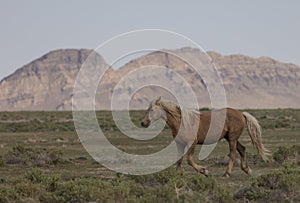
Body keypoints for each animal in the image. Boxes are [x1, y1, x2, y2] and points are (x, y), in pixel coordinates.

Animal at [141, 97, 270, 178]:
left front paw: (204, 171)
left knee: (233, 154)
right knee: (242, 149)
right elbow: (179, 160)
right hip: (230, 138)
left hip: (232, 139)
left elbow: (189, 160)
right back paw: (247, 170)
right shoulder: (180, 144)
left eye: (152, 110)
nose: (143, 123)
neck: (182, 122)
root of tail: (241, 114)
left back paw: (227, 174)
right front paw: (177, 174)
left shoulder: (191, 143)